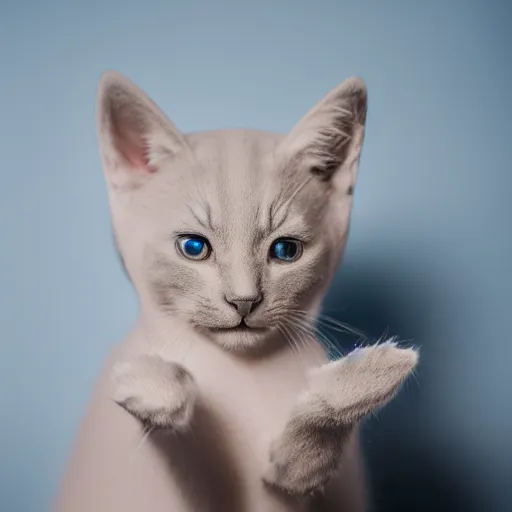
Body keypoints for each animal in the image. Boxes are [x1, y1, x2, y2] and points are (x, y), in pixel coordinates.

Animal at [54, 71, 418, 512]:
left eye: (286, 250)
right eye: (193, 247)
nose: (244, 300)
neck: (240, 372)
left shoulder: (289, 495)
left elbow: (295, 474)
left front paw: (368, 378)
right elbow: (187, 447)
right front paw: (156, 387)